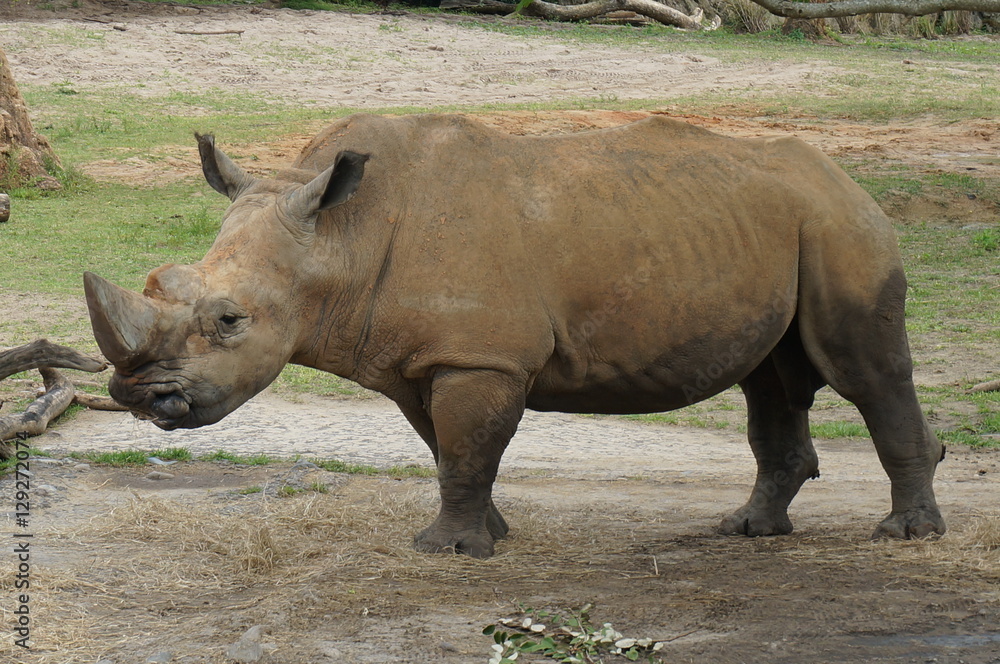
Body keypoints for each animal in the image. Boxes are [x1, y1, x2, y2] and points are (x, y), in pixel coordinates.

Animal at [84, 113, 945, 558]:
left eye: (229, 321)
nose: (139, 396)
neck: (341, 238)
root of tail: (844, 175)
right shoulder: (423, 357)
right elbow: (449, 449)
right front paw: (488, 534)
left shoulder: (480, 356)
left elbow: (468, 447)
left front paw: (448, 552)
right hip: (779, 223)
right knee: (769, 378)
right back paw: (748, 531)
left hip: (840, 225)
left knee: (865, 372)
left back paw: (904, 536)